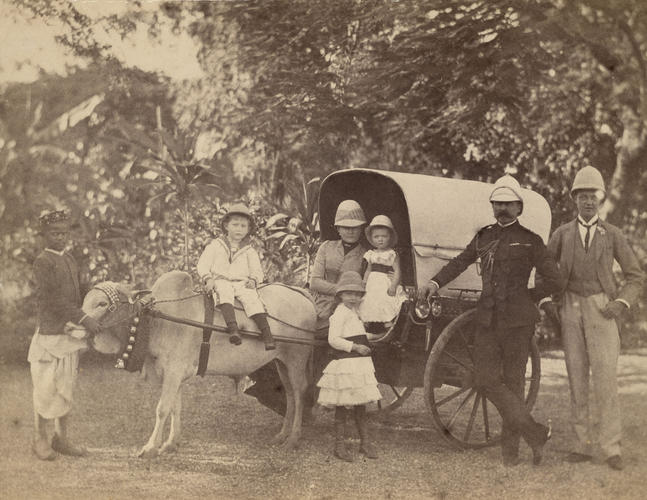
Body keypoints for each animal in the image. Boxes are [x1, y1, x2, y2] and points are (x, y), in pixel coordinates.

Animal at [82, 272, 316, 456]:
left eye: (103, 304)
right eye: (86, 302)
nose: (82, 324)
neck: (156, 320)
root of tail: (302, 293)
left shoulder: (174, 371)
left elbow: (162, 408)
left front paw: (150, 448)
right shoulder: (173, 374)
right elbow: (175, 408)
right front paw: (170, 443)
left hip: (297, 357)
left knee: (300, 392)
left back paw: (293, 439)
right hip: (281, 361)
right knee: (289, 393)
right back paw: (282, 435)